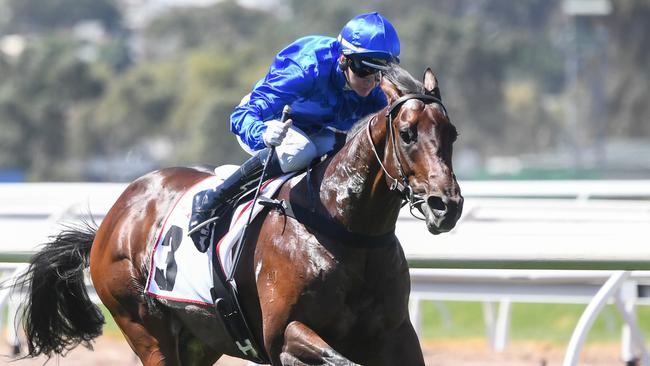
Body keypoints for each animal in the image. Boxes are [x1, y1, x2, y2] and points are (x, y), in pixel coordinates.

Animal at [13, 64, 460, 364]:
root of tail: (112, 220)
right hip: (143, 327)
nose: (447, 206)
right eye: (407, 133)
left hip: (201, 339)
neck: (343, 228)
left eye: (451, 133)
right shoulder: (284, 335)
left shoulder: (396, 334)